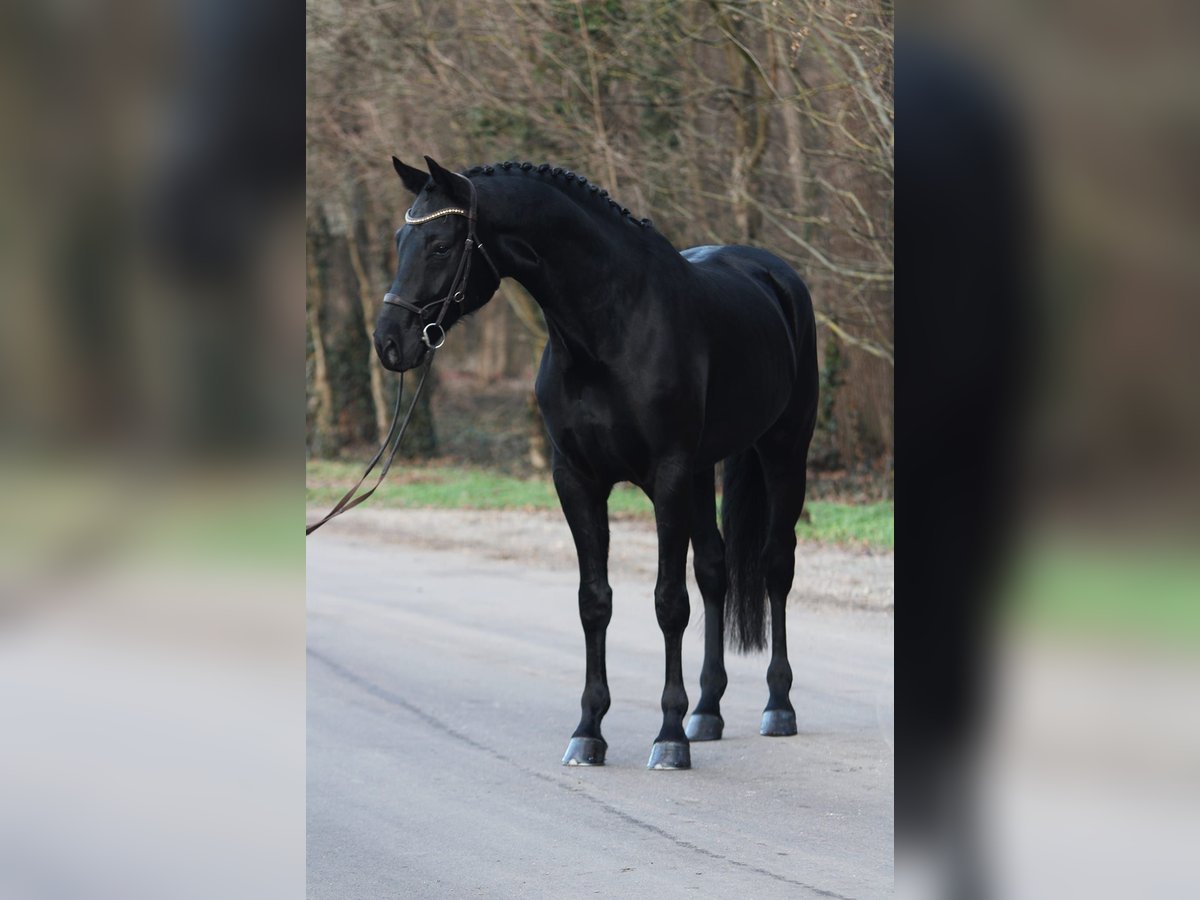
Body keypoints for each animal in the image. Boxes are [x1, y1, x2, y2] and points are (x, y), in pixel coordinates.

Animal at [379, 154, 820, 768]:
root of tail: (776, 275)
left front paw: (668, 737)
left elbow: (668, 602)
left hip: (783, 450)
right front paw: (589, 731)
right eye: (401, 240)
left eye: (441, 245)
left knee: (776, 566)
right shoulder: (577, 480)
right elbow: (595, 601)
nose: (389, 343)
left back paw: (777, 707)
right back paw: (708, 711)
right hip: (705, 469)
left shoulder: (668, 477)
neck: (609, 330)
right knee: (715, 572)